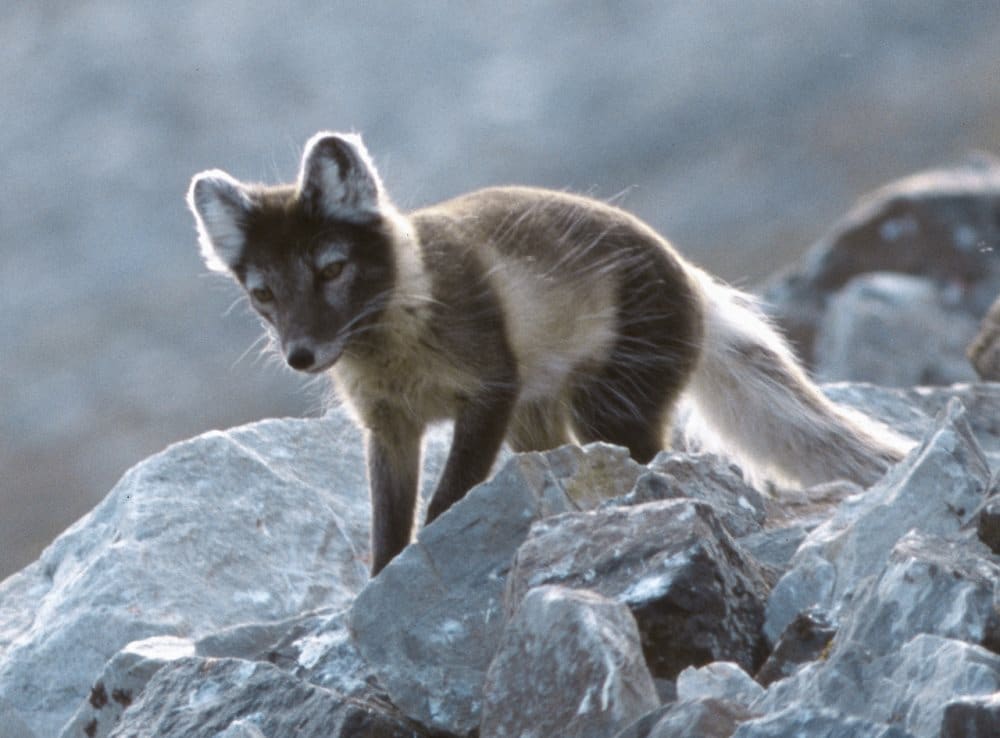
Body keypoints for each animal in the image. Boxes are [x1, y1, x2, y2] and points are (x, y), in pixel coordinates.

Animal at [188, 132, 916, 576]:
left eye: (332, 269)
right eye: (263, 293)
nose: (301, 355)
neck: (399, 334)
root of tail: (690, 275)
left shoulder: (490, 390)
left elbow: (445, 501)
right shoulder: (389, 427)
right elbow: (387, 526)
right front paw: (381, 582)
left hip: (609, 411)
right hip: (541, 427)